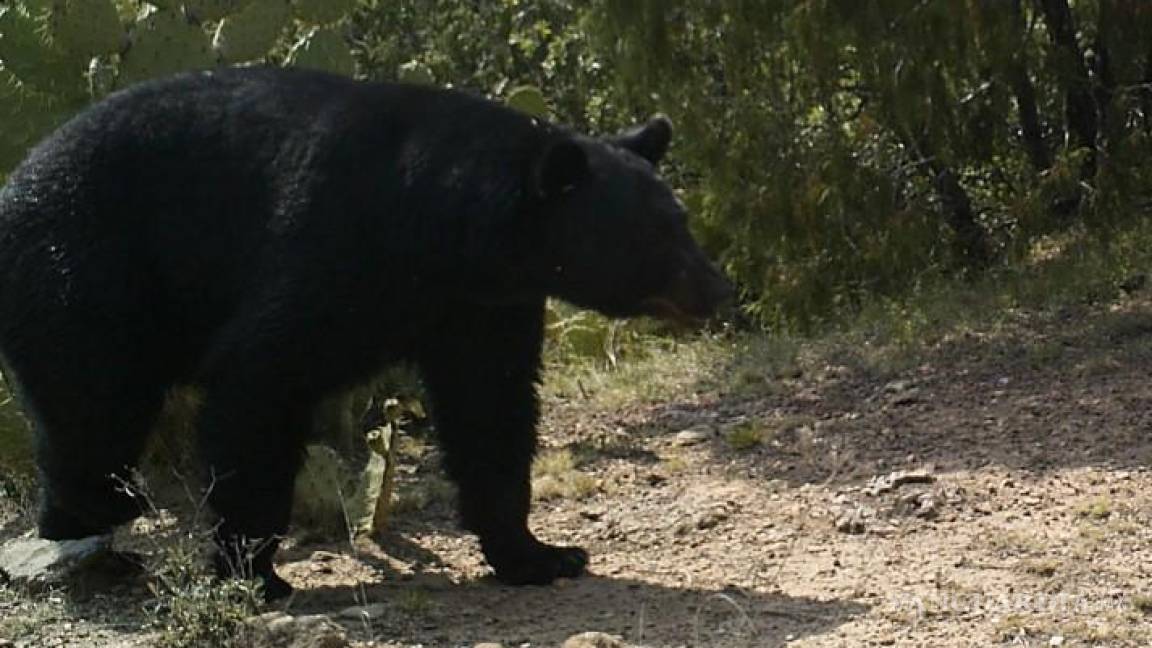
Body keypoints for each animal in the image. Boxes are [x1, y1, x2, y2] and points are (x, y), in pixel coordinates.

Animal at [0, 65, 728, 594]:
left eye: (680, 219)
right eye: (659, 234)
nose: (716, 288)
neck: (453, 232)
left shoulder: (486, 307)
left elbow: (492, 411)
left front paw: (539, 554)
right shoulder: (334, 248)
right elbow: (258, 378)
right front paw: (253, 572)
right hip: (83, 267)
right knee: (93, 408)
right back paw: (94, 535)